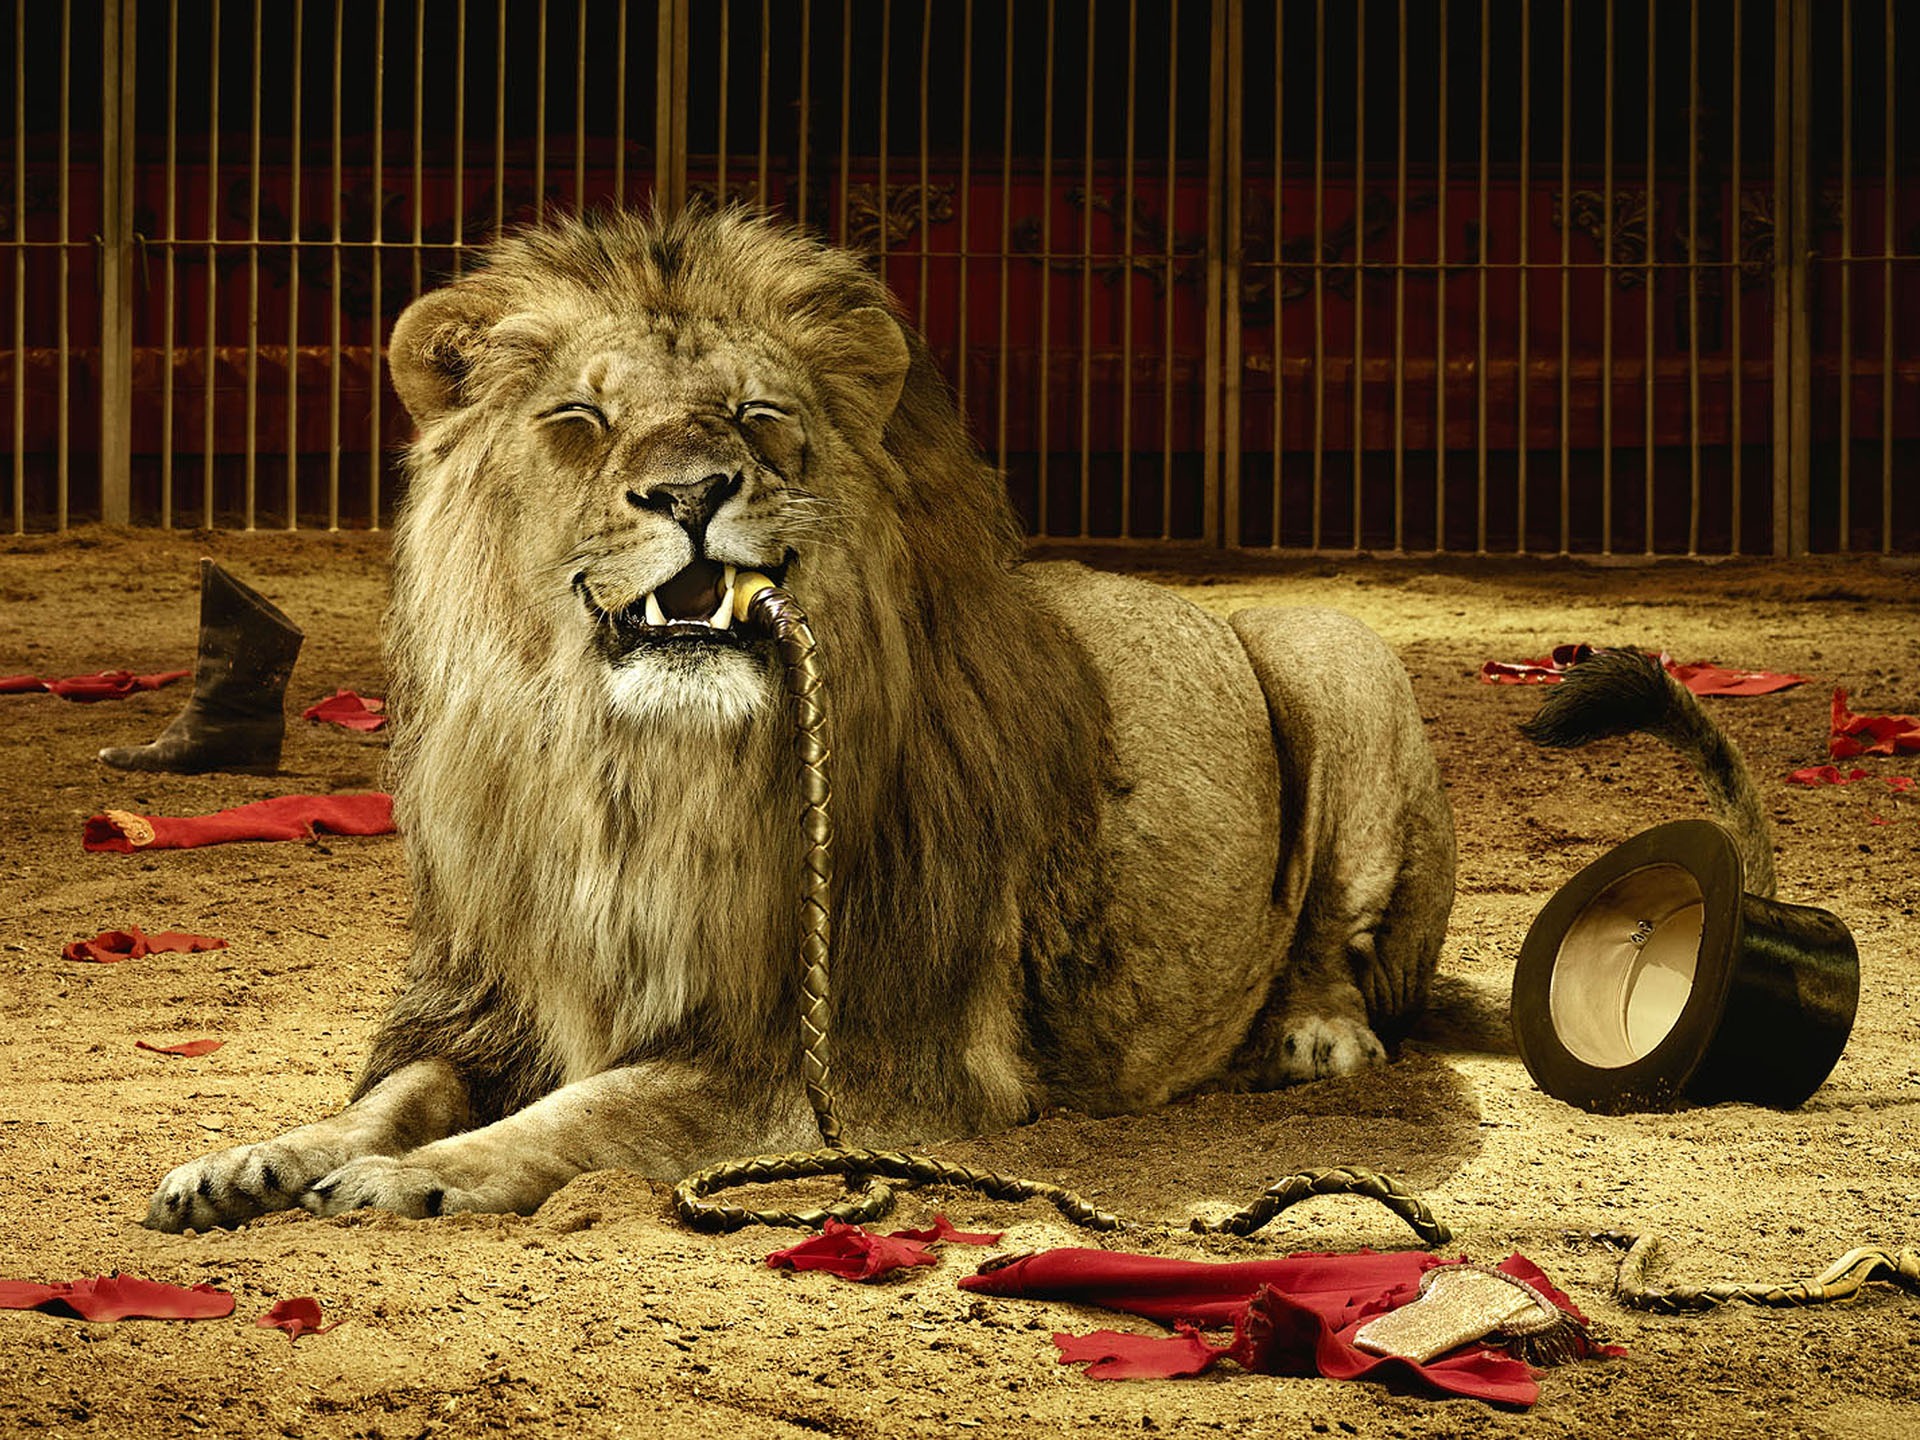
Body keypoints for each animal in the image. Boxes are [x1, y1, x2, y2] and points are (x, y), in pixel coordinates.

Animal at [146, 209, 1455, 1231]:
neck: (634, 776)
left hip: (1332, 650)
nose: (690, 492)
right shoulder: (490, 999)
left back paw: (1316, 1040)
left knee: (1338, 935)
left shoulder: (866, 1057)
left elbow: (597, 1110)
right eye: (579, 419)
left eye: (756, 412)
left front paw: (418, 1178)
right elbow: (393, 1093)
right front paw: (255, 1159)